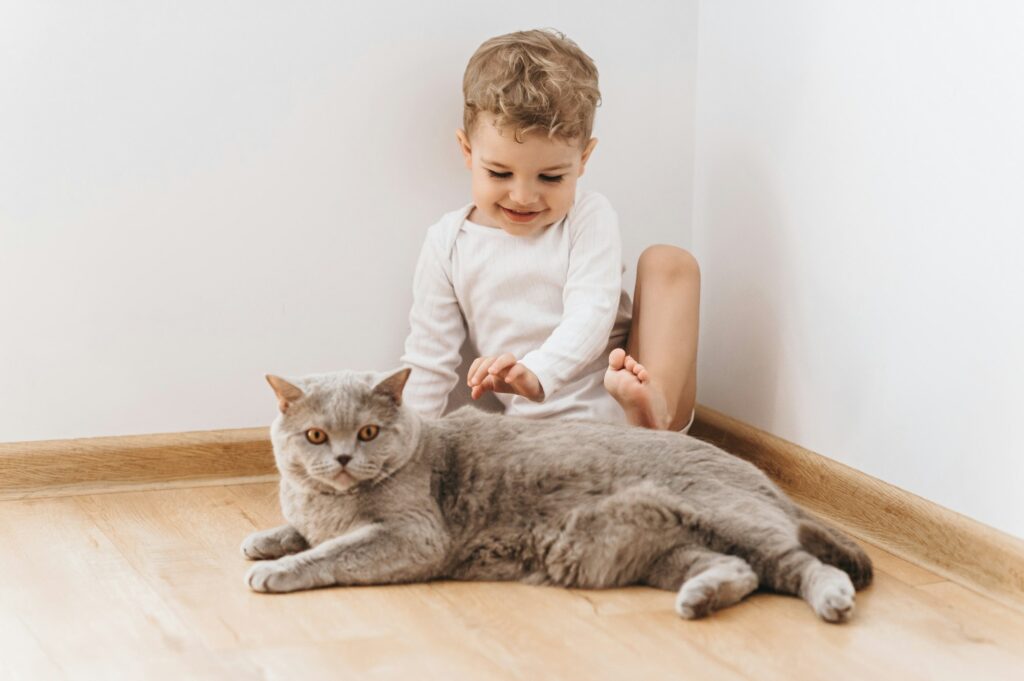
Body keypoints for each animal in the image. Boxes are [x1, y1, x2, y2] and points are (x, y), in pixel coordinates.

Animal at [241, 366, 872, 622]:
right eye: (316, 436)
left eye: (369, 432)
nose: (344, 459)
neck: (329, 502)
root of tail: (764, 479)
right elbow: (301, 531)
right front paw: (264, 540)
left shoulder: (414, 536)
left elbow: (331, 551)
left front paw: (276, 569)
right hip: (665, 549)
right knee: (740, 570)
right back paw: (700, 599)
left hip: (733, 517)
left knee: (803, 565)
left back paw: (832, 600)